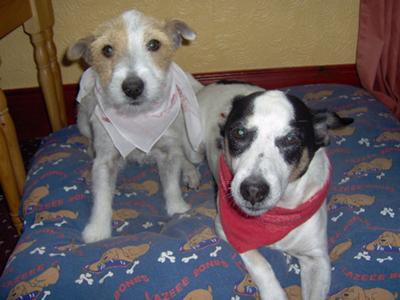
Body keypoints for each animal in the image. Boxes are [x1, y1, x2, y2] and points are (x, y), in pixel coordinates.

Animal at [198, 81, 354, 298]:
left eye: (291, 140)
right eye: (239, 133)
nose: (253, 191)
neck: (275, 216)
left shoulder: (317, 258)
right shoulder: (227, 229)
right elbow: (261, 264)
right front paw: (274, 293)